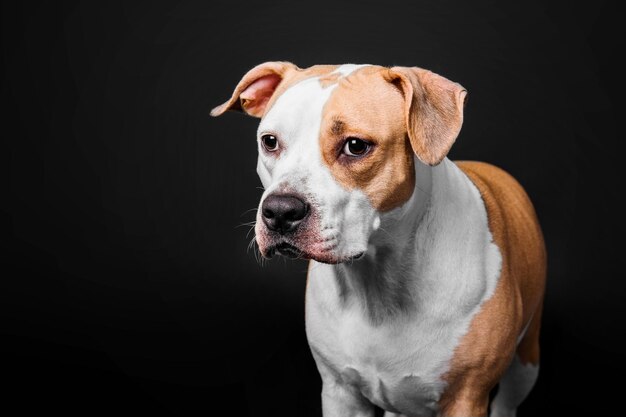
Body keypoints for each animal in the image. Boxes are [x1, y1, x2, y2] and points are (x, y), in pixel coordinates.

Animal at [210, 61, 540, 416]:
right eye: (270, 141)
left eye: (356, 146)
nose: (280, 211)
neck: (376, 283)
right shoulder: (341, 394)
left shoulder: (466, 398)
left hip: (525, 364)